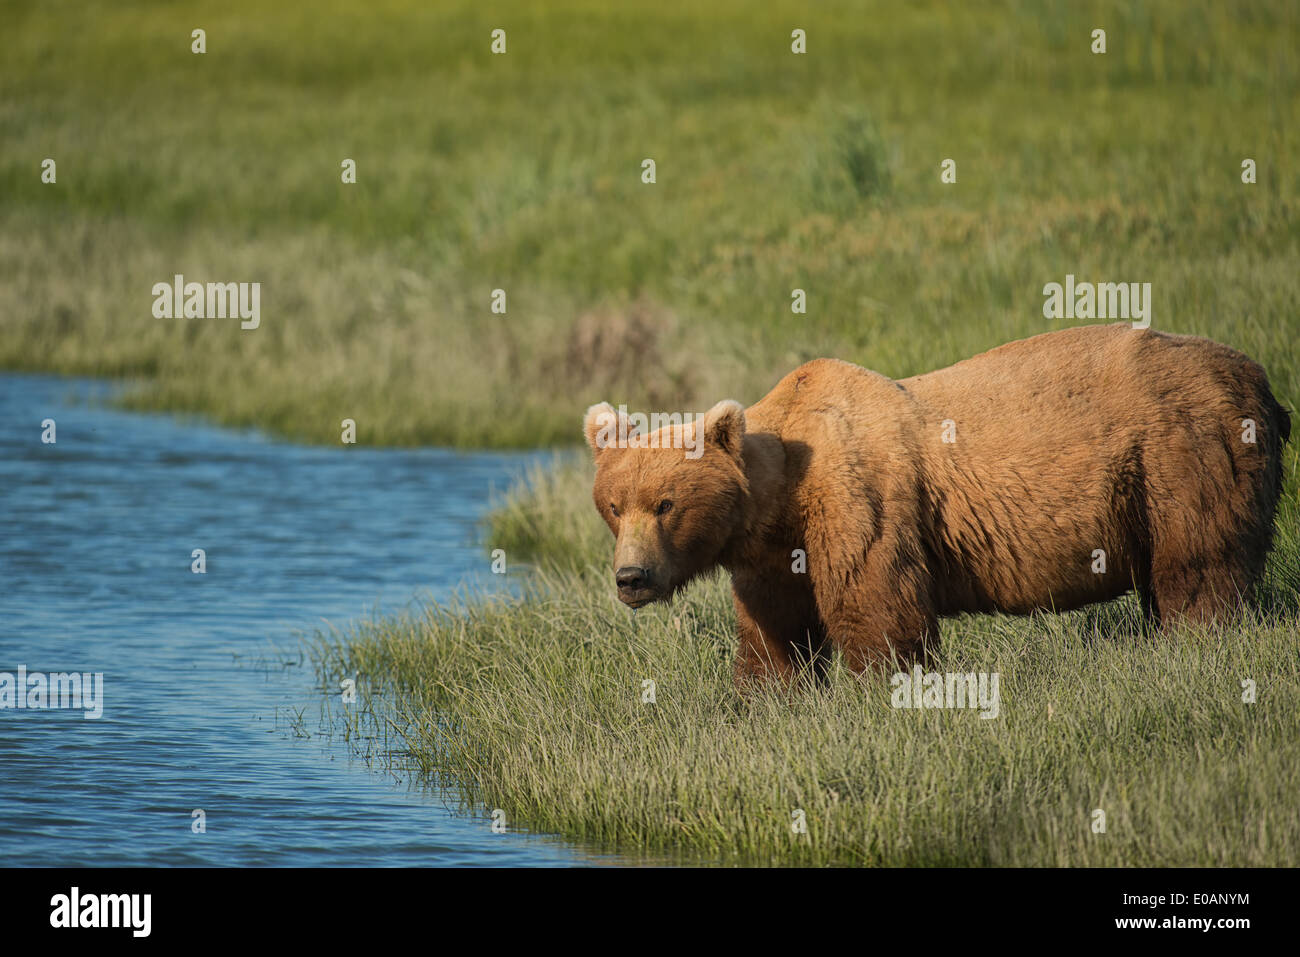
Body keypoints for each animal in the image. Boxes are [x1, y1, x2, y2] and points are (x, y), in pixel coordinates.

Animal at [583, 323, 1291, 690]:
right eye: (615, 505)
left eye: (666, 502)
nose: (631, 577)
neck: (782, 500)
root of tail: (1260, 380)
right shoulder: (772, 553)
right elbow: (774, 632)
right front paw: (767, 696)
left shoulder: (857, 500)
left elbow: (876, 606)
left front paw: (882, 689)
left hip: (1181, 453)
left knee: (1198, 566)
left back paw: (1194, 641)